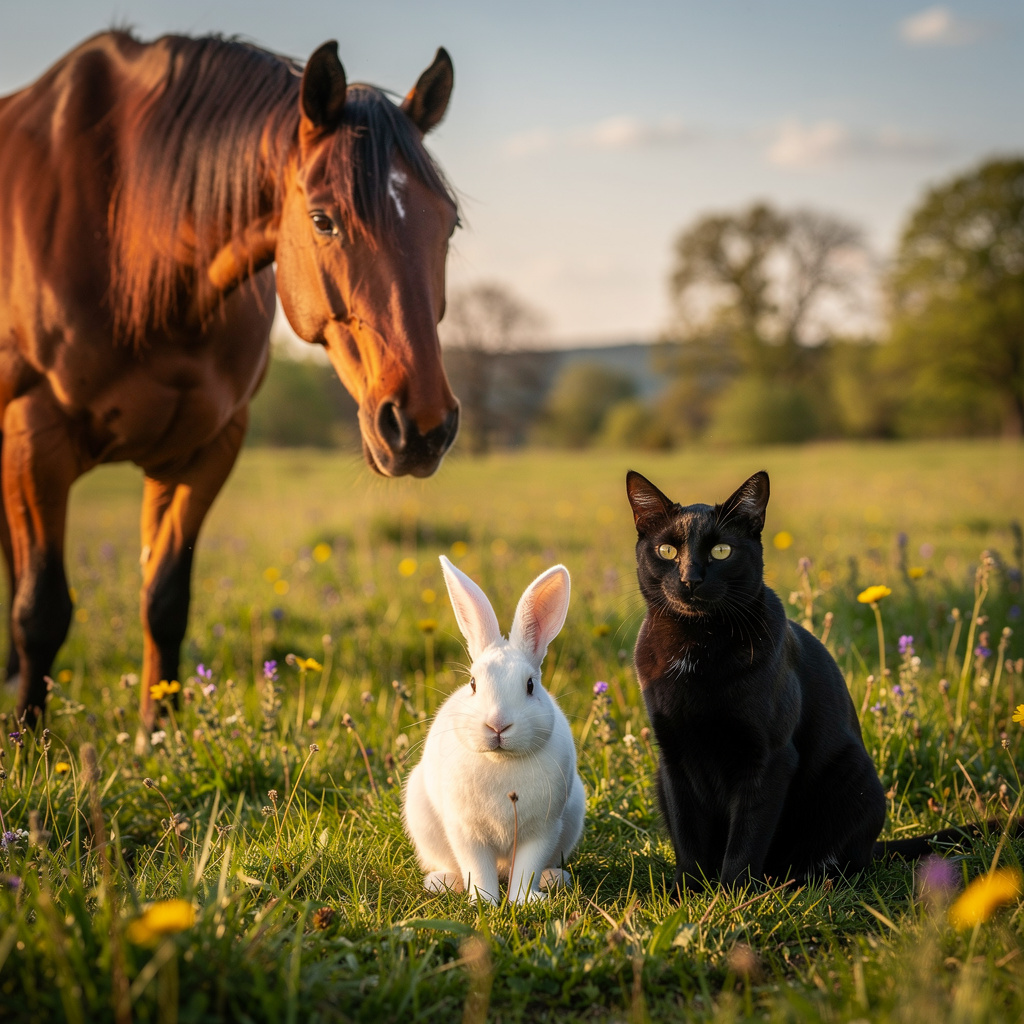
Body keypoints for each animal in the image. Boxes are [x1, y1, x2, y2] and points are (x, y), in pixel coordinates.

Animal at [0, 31, 461, 742]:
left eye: (450, 224)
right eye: (324, 220)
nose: (422, 426)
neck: (127, 237)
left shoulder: (204, 448)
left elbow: (165, 597)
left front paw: (158, 735)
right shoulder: (34, 437)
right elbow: (41, 608)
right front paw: (30, 742)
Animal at [402, 555, 585, 905]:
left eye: (530, 686)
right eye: (473, 683)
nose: (498, 724)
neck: (501, 760)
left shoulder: (542, 831)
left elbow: (526, 869)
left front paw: (524, 901)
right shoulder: (466, 831)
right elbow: (478, 869)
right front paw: (484, 902)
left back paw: (555, 879)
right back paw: (442, 882)